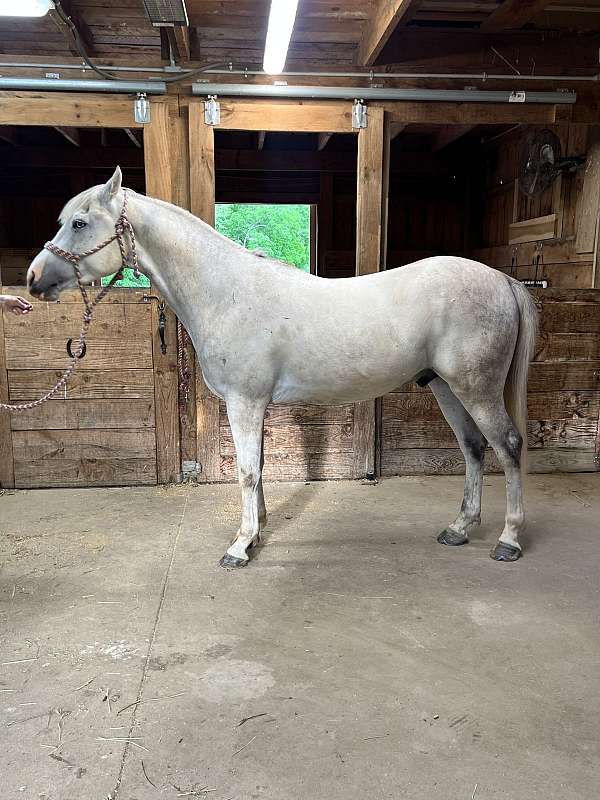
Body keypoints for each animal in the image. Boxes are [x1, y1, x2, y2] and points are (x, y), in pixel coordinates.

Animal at [27, 167, 538, 569]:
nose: (33, 279)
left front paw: (239, 546)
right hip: (447, 387)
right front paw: (258, 531)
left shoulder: (245, 402)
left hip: (476, 388)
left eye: (79, 222)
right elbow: (259, 465)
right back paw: (459, 528)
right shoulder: (254, 405)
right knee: (474, 448)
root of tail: (503, 280)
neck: (227, 292)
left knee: (508, 446)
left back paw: (509, 540)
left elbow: (246, 471)